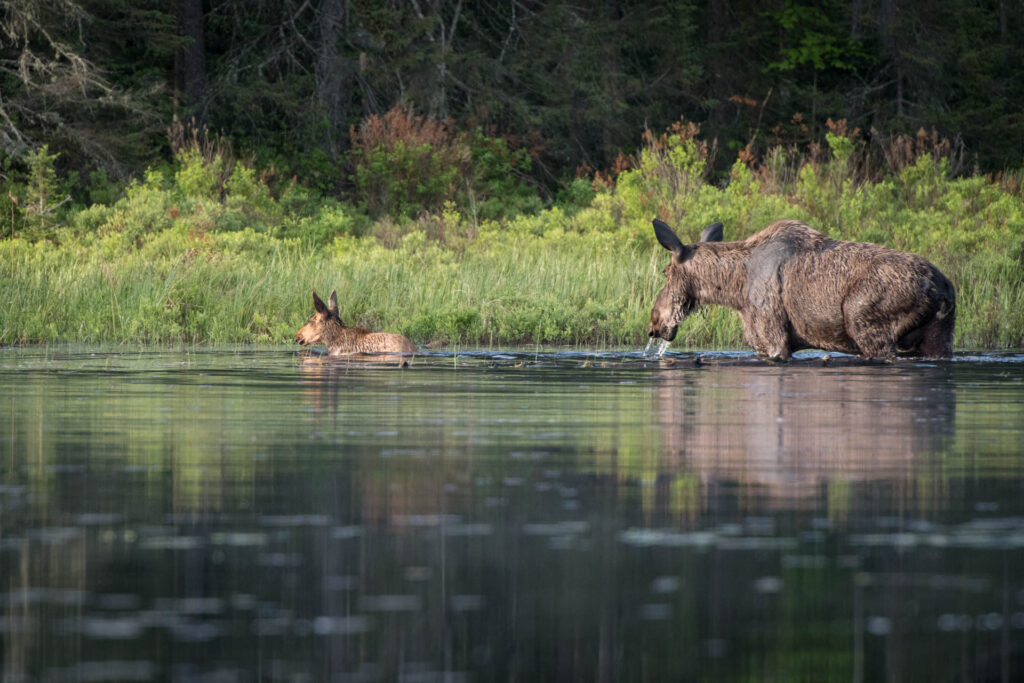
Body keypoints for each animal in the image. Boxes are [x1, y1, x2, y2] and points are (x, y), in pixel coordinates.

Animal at [651, 220, 954, 360]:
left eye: (665, 272)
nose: (654, 322)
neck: (734, 291)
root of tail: (943, 287)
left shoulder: (773, 340)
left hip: (865, 322)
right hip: (939, 338)